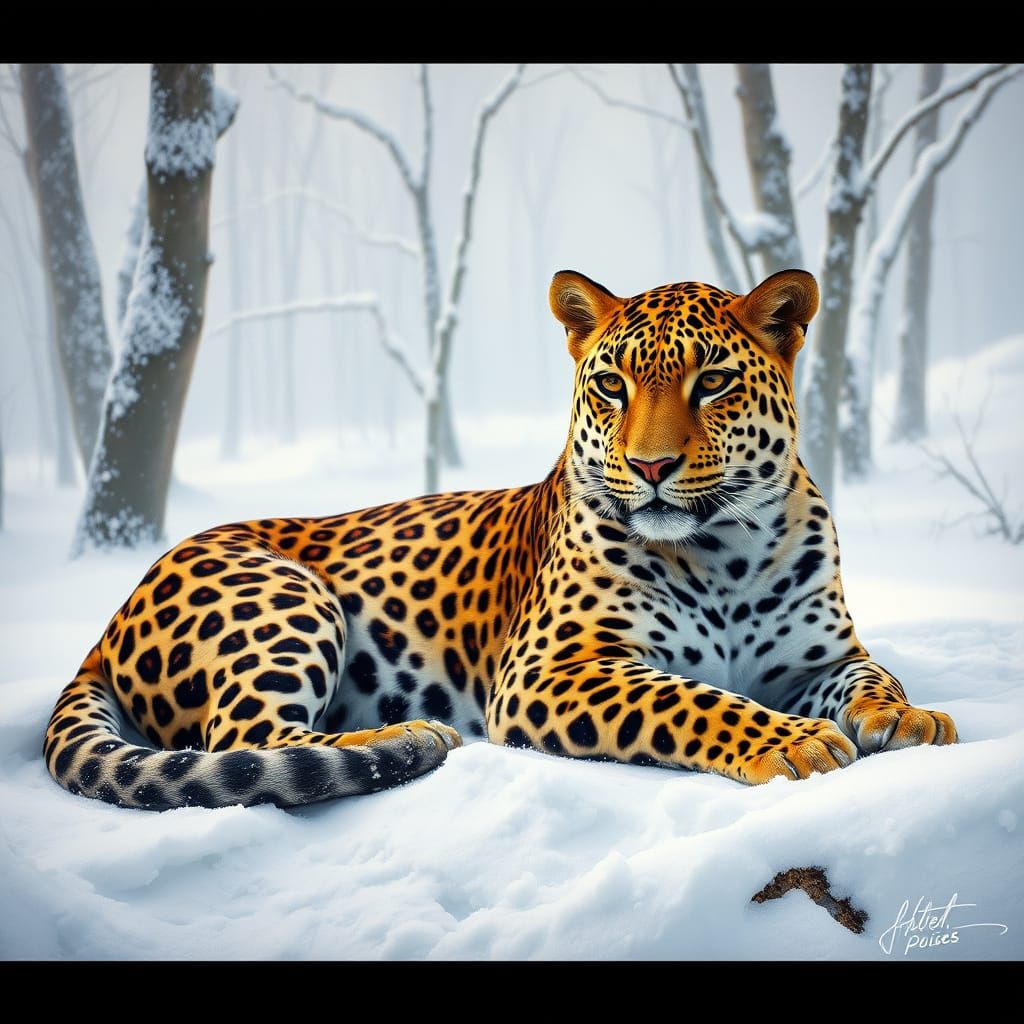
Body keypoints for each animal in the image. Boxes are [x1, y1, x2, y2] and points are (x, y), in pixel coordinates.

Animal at [44, 268, 957, 810]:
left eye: (715, 382)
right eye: (612, 385)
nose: (650, 465)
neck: (727, 550)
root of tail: (103, 627)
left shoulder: (819, 658)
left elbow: (872, 676)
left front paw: (907, 719)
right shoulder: (553, 669)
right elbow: (690, 699)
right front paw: (793, 741)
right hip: (280, 596)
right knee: (245, 741)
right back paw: (405, 740)